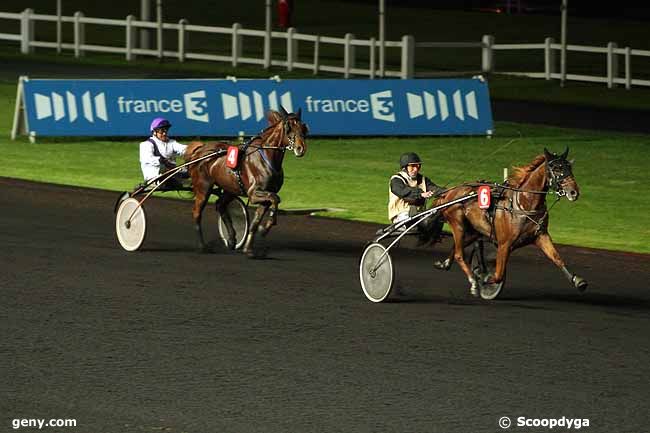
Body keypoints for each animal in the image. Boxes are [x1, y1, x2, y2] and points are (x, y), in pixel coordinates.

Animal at [184, 109, 308, 256]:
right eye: (288, 127)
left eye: (303, 127)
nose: (301, 148)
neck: (267, 156)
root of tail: (199, 150)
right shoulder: (254, 193)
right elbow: (275, 198)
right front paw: (266, 226)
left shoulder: (265, 196)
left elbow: (256, 220)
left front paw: (249, 247)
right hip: (203, 188)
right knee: (197, 213)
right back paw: (202, 246)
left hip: (230, 189)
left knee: (220, 205)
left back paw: (232, 239)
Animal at [432, 147, 584, 296]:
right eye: (557, 168)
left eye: (569, 167)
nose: (574, 192)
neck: (523, 204)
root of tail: (448, 193)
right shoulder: (504, 243)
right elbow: (498, 274)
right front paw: (483, 278)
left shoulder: (540, 236)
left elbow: (557, 258)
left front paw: (578, 281)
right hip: (458, 224)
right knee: (459, 254)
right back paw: (473, 282)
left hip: (473, 230)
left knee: (459, 247)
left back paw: (445, 263)